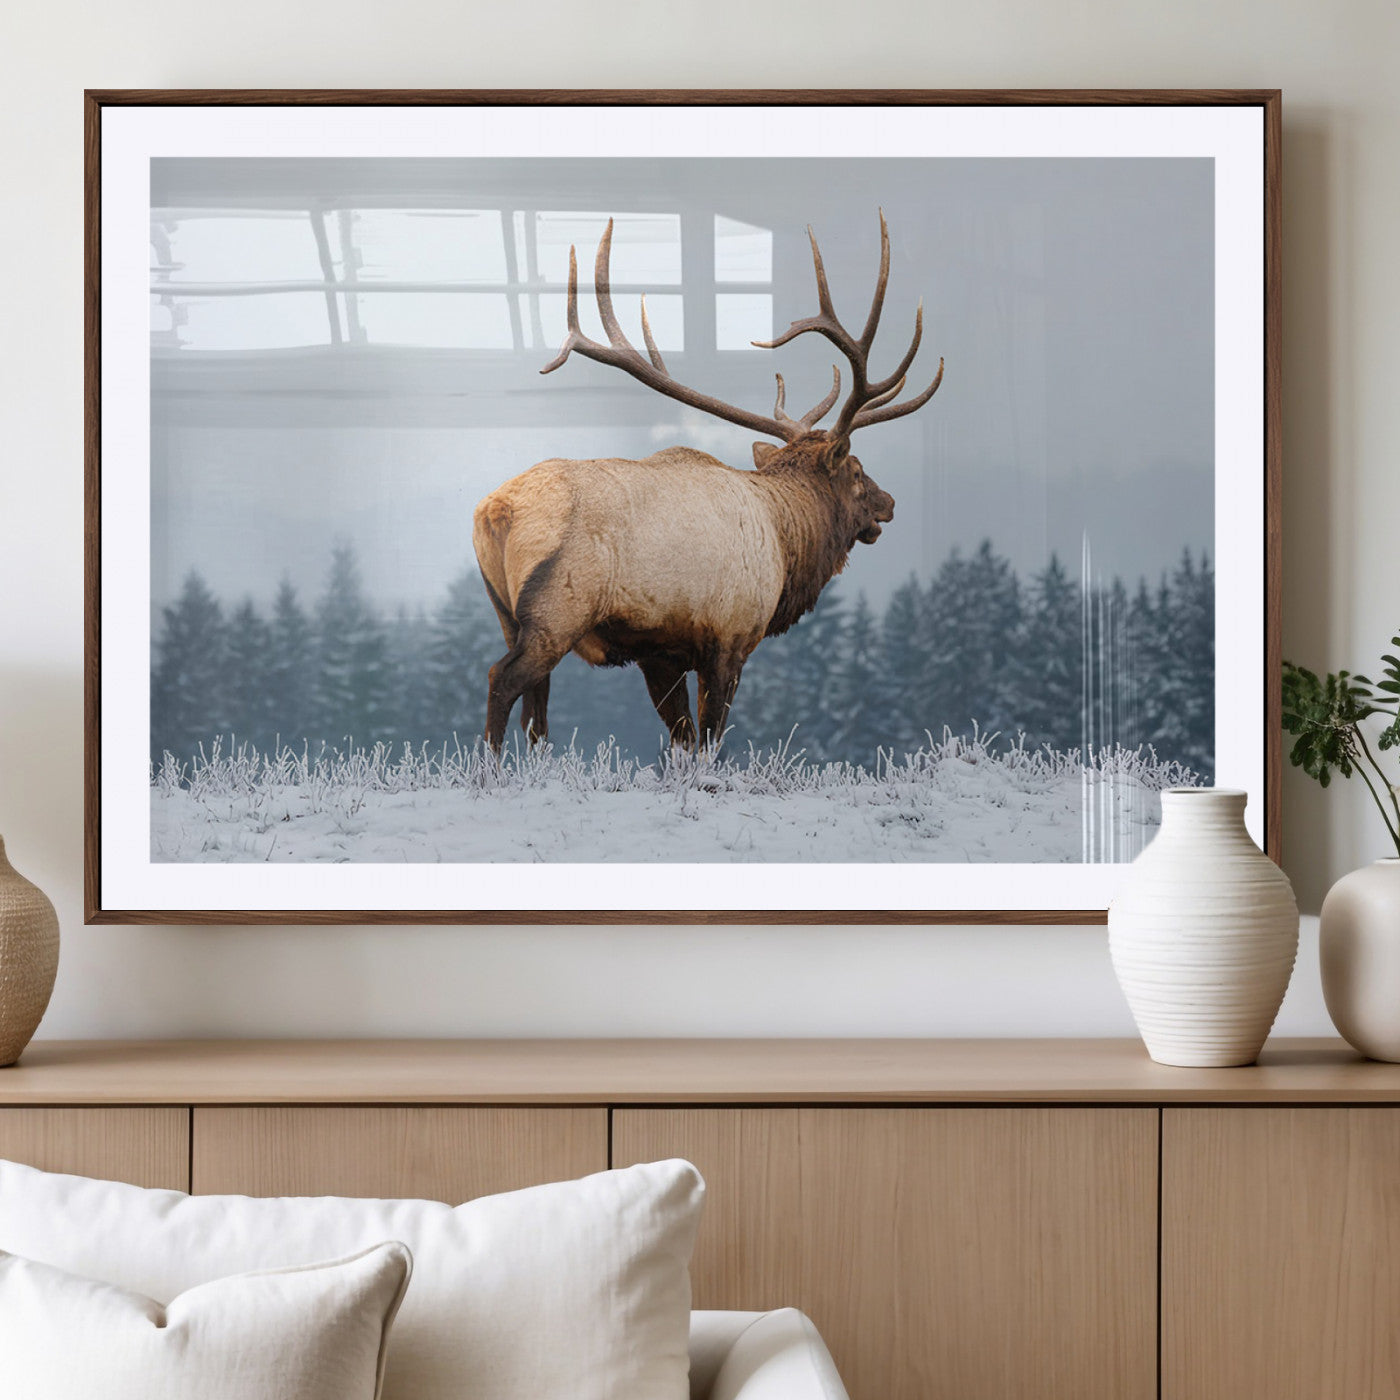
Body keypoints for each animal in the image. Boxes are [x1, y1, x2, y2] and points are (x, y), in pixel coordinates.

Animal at [472, 212, 944, 754]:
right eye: (857, 470)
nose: (890, 502)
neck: (786, 546)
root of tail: (496, 511)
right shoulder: (730, 636)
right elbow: (712, 740)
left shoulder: (661, 652)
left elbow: (683, 738)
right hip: (557, 610)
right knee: (502, 679)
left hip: (505, 613)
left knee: (537, 709)